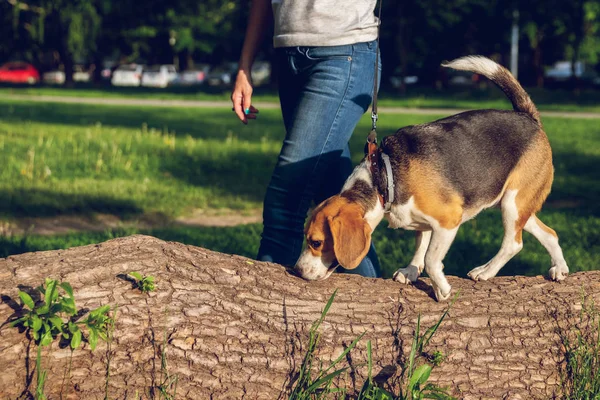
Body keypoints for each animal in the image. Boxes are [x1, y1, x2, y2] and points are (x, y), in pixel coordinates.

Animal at [298, 55, 568, 300]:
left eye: (316, 243)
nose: (298, 271)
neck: (382, 177)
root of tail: (528, 117)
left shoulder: (448, 221)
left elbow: (430, 258)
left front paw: (441, 289)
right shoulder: (423, 223)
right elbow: (421, 248)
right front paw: (411, 270)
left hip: (512, 203)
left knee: (514, 243)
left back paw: (485, 271)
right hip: (516, 204)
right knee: (549, 233)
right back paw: (560, 268)